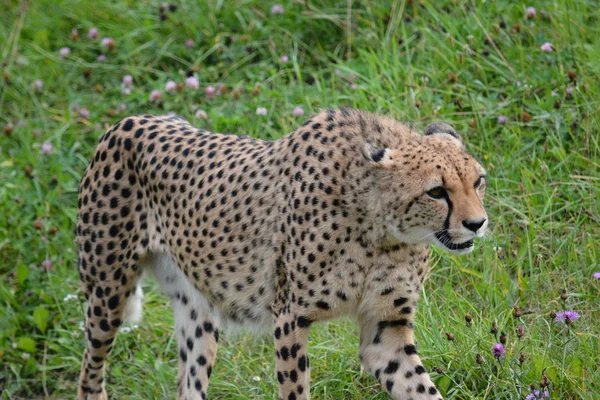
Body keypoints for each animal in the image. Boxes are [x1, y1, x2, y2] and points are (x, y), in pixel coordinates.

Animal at [75, 108, 488, 398]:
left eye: (478, 181)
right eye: (436, 191)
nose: (477, 223)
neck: (380, 231)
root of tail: (137, 118)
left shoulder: (384, 329)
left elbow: (420, 388)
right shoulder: (289, 317)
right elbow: (294, 388)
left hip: (198, 312)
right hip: (107, 295)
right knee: (89, 371)